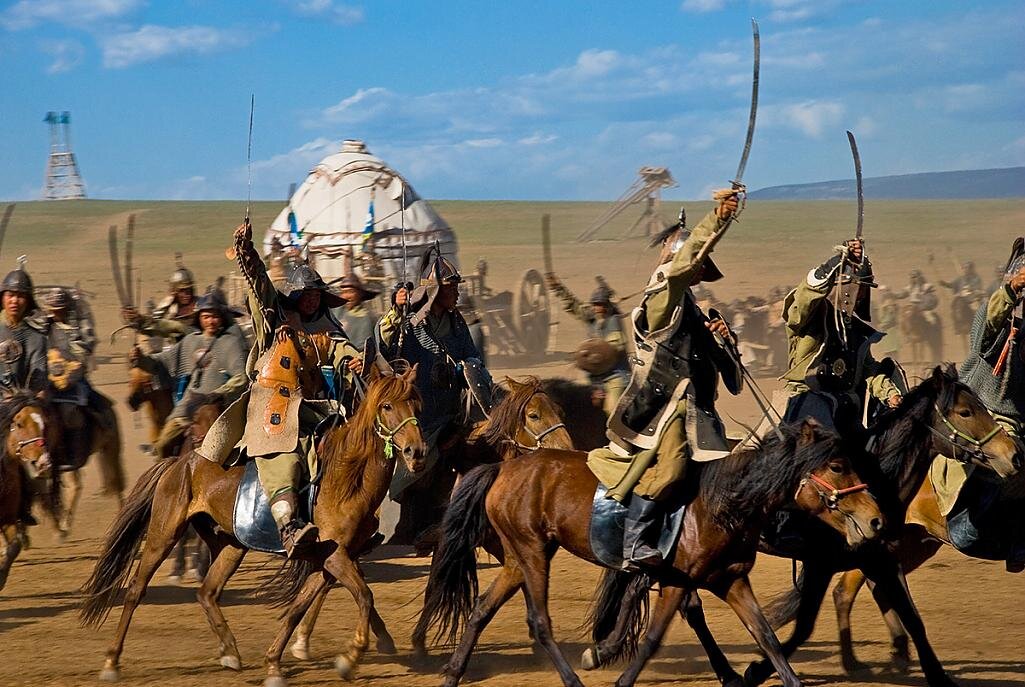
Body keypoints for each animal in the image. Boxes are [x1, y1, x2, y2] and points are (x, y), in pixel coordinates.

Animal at [78, 336, 424, 684]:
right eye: (386, 406)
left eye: (417, 406)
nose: (416, 452)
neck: (344, 478)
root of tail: (179, 463)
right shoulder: (335, 555)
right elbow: (364, 595)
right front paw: (350, 657)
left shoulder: (332, 558)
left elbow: (299, 607)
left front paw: (274, 663)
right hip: (163, 534)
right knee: (136, 590)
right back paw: (111, 662)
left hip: (231, 544)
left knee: (207, 592)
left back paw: (230, 652)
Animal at [289, 373, 578, 664]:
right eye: (533, 415)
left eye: (559, 411)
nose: (567, 450)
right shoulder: (446, 540)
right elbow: (434, 589)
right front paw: (419, 642)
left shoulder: (490, 540)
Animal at [420, 420, 885, 687]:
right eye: (837, 466)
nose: (877, 519)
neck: (717, 504)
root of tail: (503, 466)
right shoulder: (677, 582)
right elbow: (651, 639)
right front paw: (617, 673)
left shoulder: (730, 580)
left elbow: (766, 637)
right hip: (533, 554)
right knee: (540, 623)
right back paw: (572, 679)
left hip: (519, 557)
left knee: (481, 609)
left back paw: (453, 674)